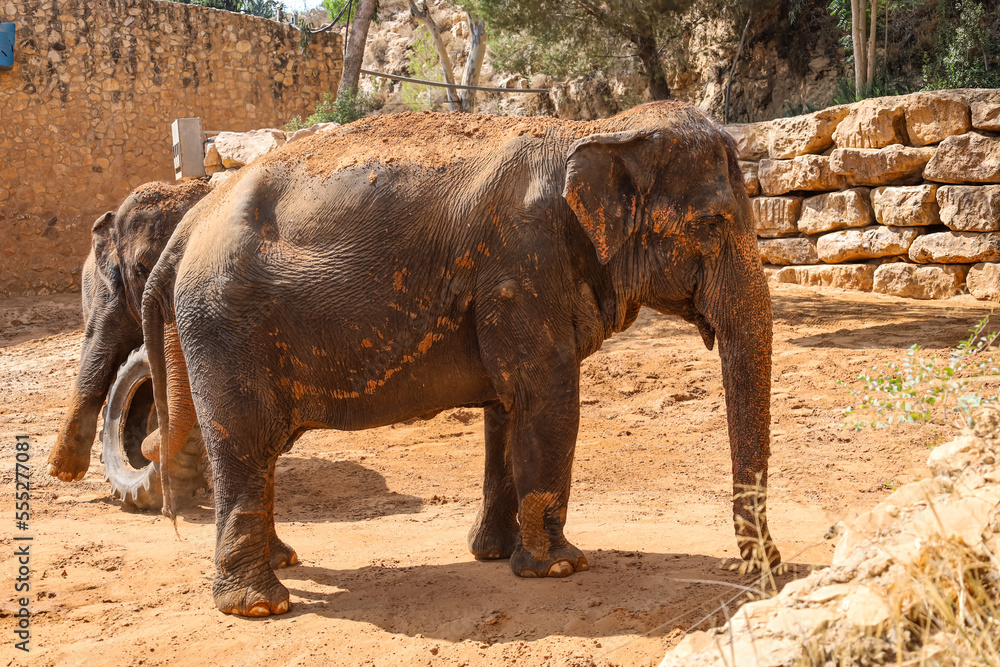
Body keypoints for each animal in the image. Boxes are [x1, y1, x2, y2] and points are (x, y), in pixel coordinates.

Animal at [145, 102, 776, 620]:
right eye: (713, 223)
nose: (763, 568)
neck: (594, 128)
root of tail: (189, 223)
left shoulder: (506, 289)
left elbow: (507, 409)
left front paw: (494, 554)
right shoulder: (523, 268)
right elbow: (547, 398)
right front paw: (560, 567)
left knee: (263, 451)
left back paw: (284, 562)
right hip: (225, 325)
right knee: (244, 443)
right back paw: (260, 606)